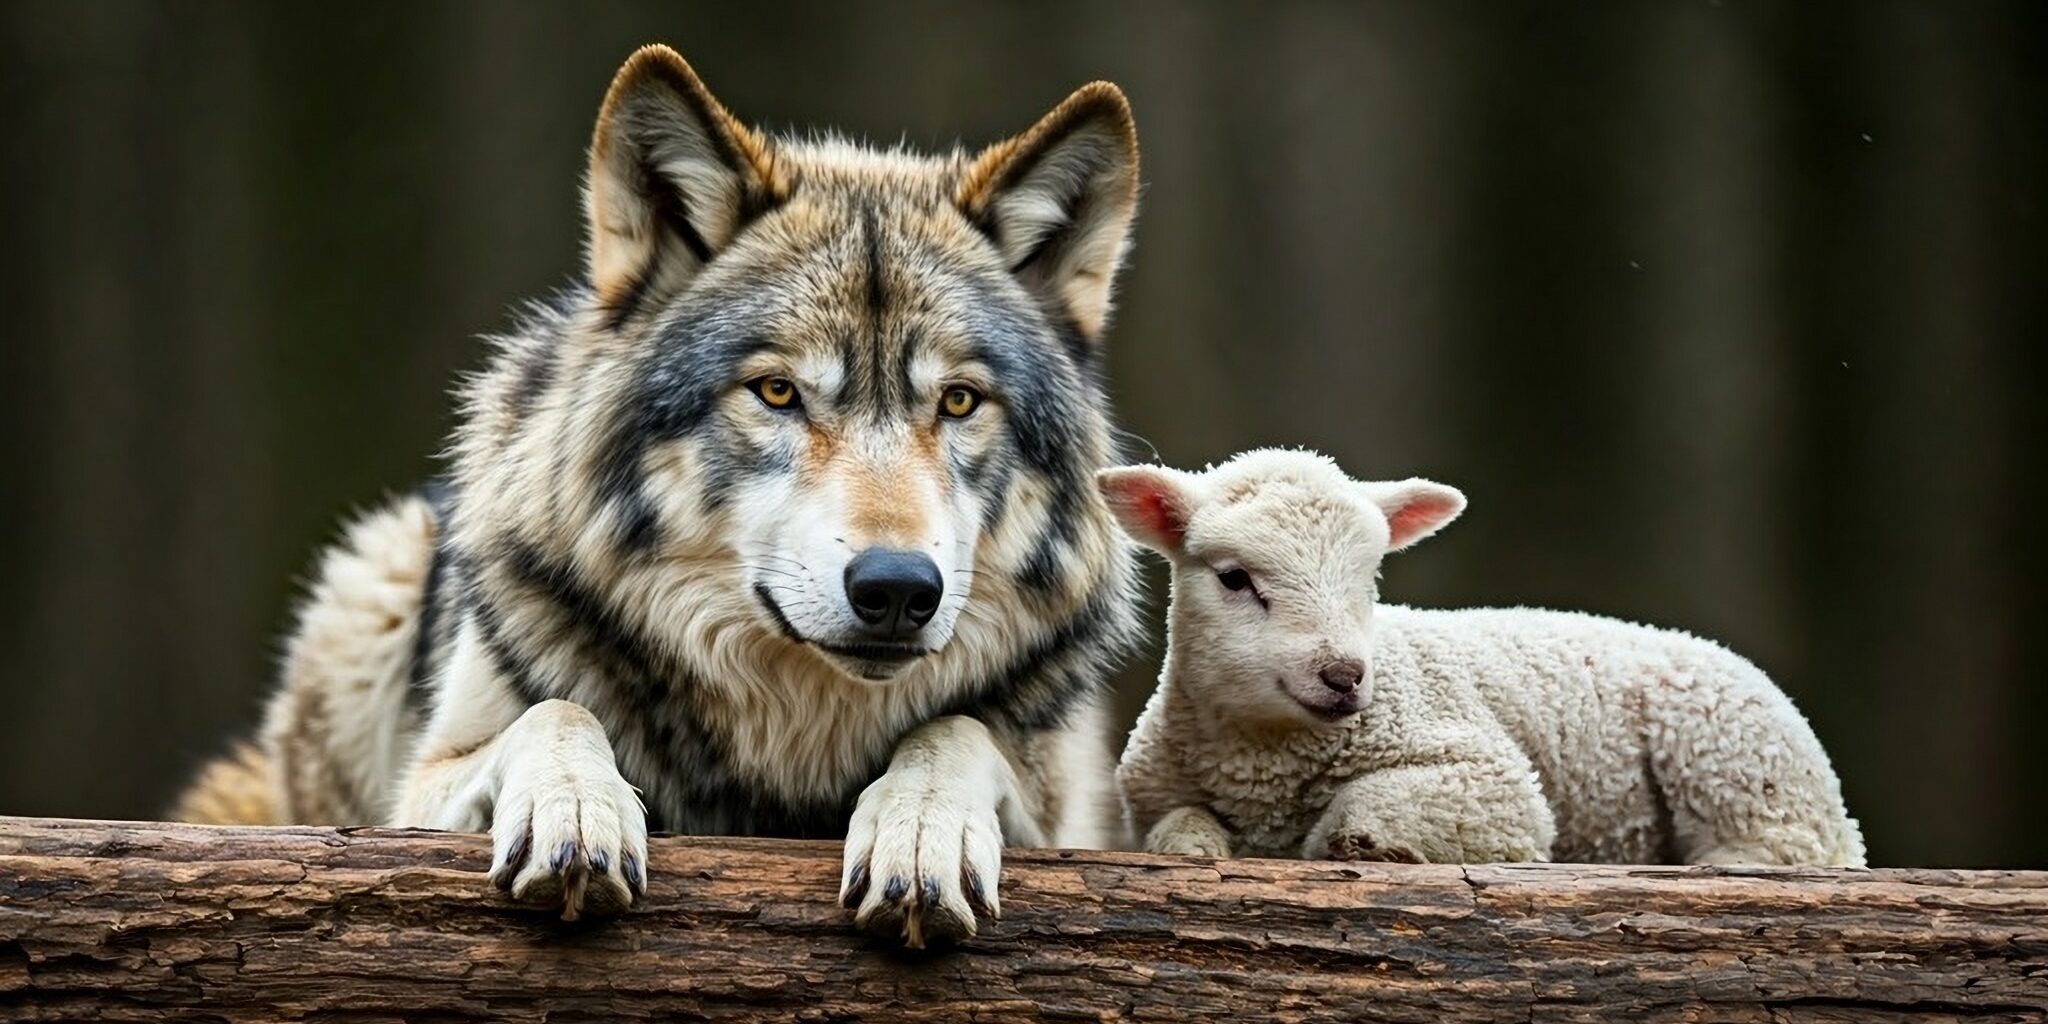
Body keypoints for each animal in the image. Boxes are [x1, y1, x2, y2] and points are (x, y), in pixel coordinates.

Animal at [174, 44, 1146, 946]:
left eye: (959, 402)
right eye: (778, 392)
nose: (899, 589)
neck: (789, 750)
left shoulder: (1064, 819)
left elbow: (956, 732)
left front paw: (921, 827)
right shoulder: (416, 792)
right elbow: (556, 710)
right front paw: (574, 808)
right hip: (372, 577)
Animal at [1103, 449, 1865, 867]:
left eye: (1371, 575)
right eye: (1235, 578)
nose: (1344, 677)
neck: (1264, 757)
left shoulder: (1494, 781)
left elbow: (1364, 806)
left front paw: (1361, 843)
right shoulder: (1150, 793)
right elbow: (1177, 828)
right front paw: (1198, 845)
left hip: (1738, 756)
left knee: (1790, 845)